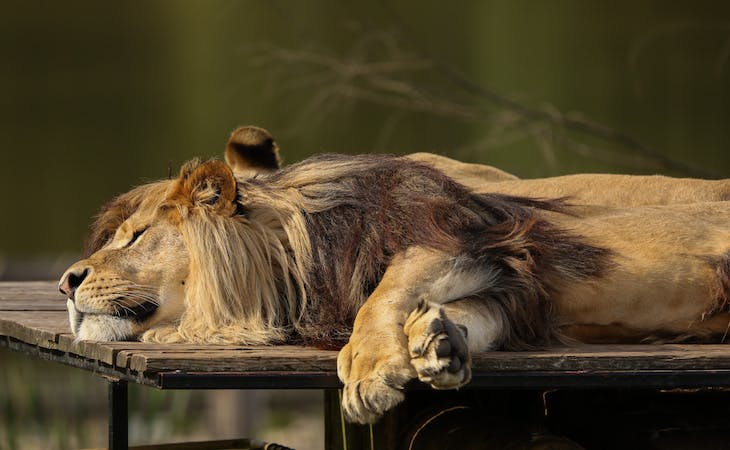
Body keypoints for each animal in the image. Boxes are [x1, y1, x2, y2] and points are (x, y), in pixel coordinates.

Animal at [59, 126, 728, 426]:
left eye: (136, 236)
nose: (66, 281)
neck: (289, 269)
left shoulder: (460, 235)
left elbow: (381, 295)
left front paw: (370, 369)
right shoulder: (509, 284)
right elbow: (476, 315)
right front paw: (440, 344)